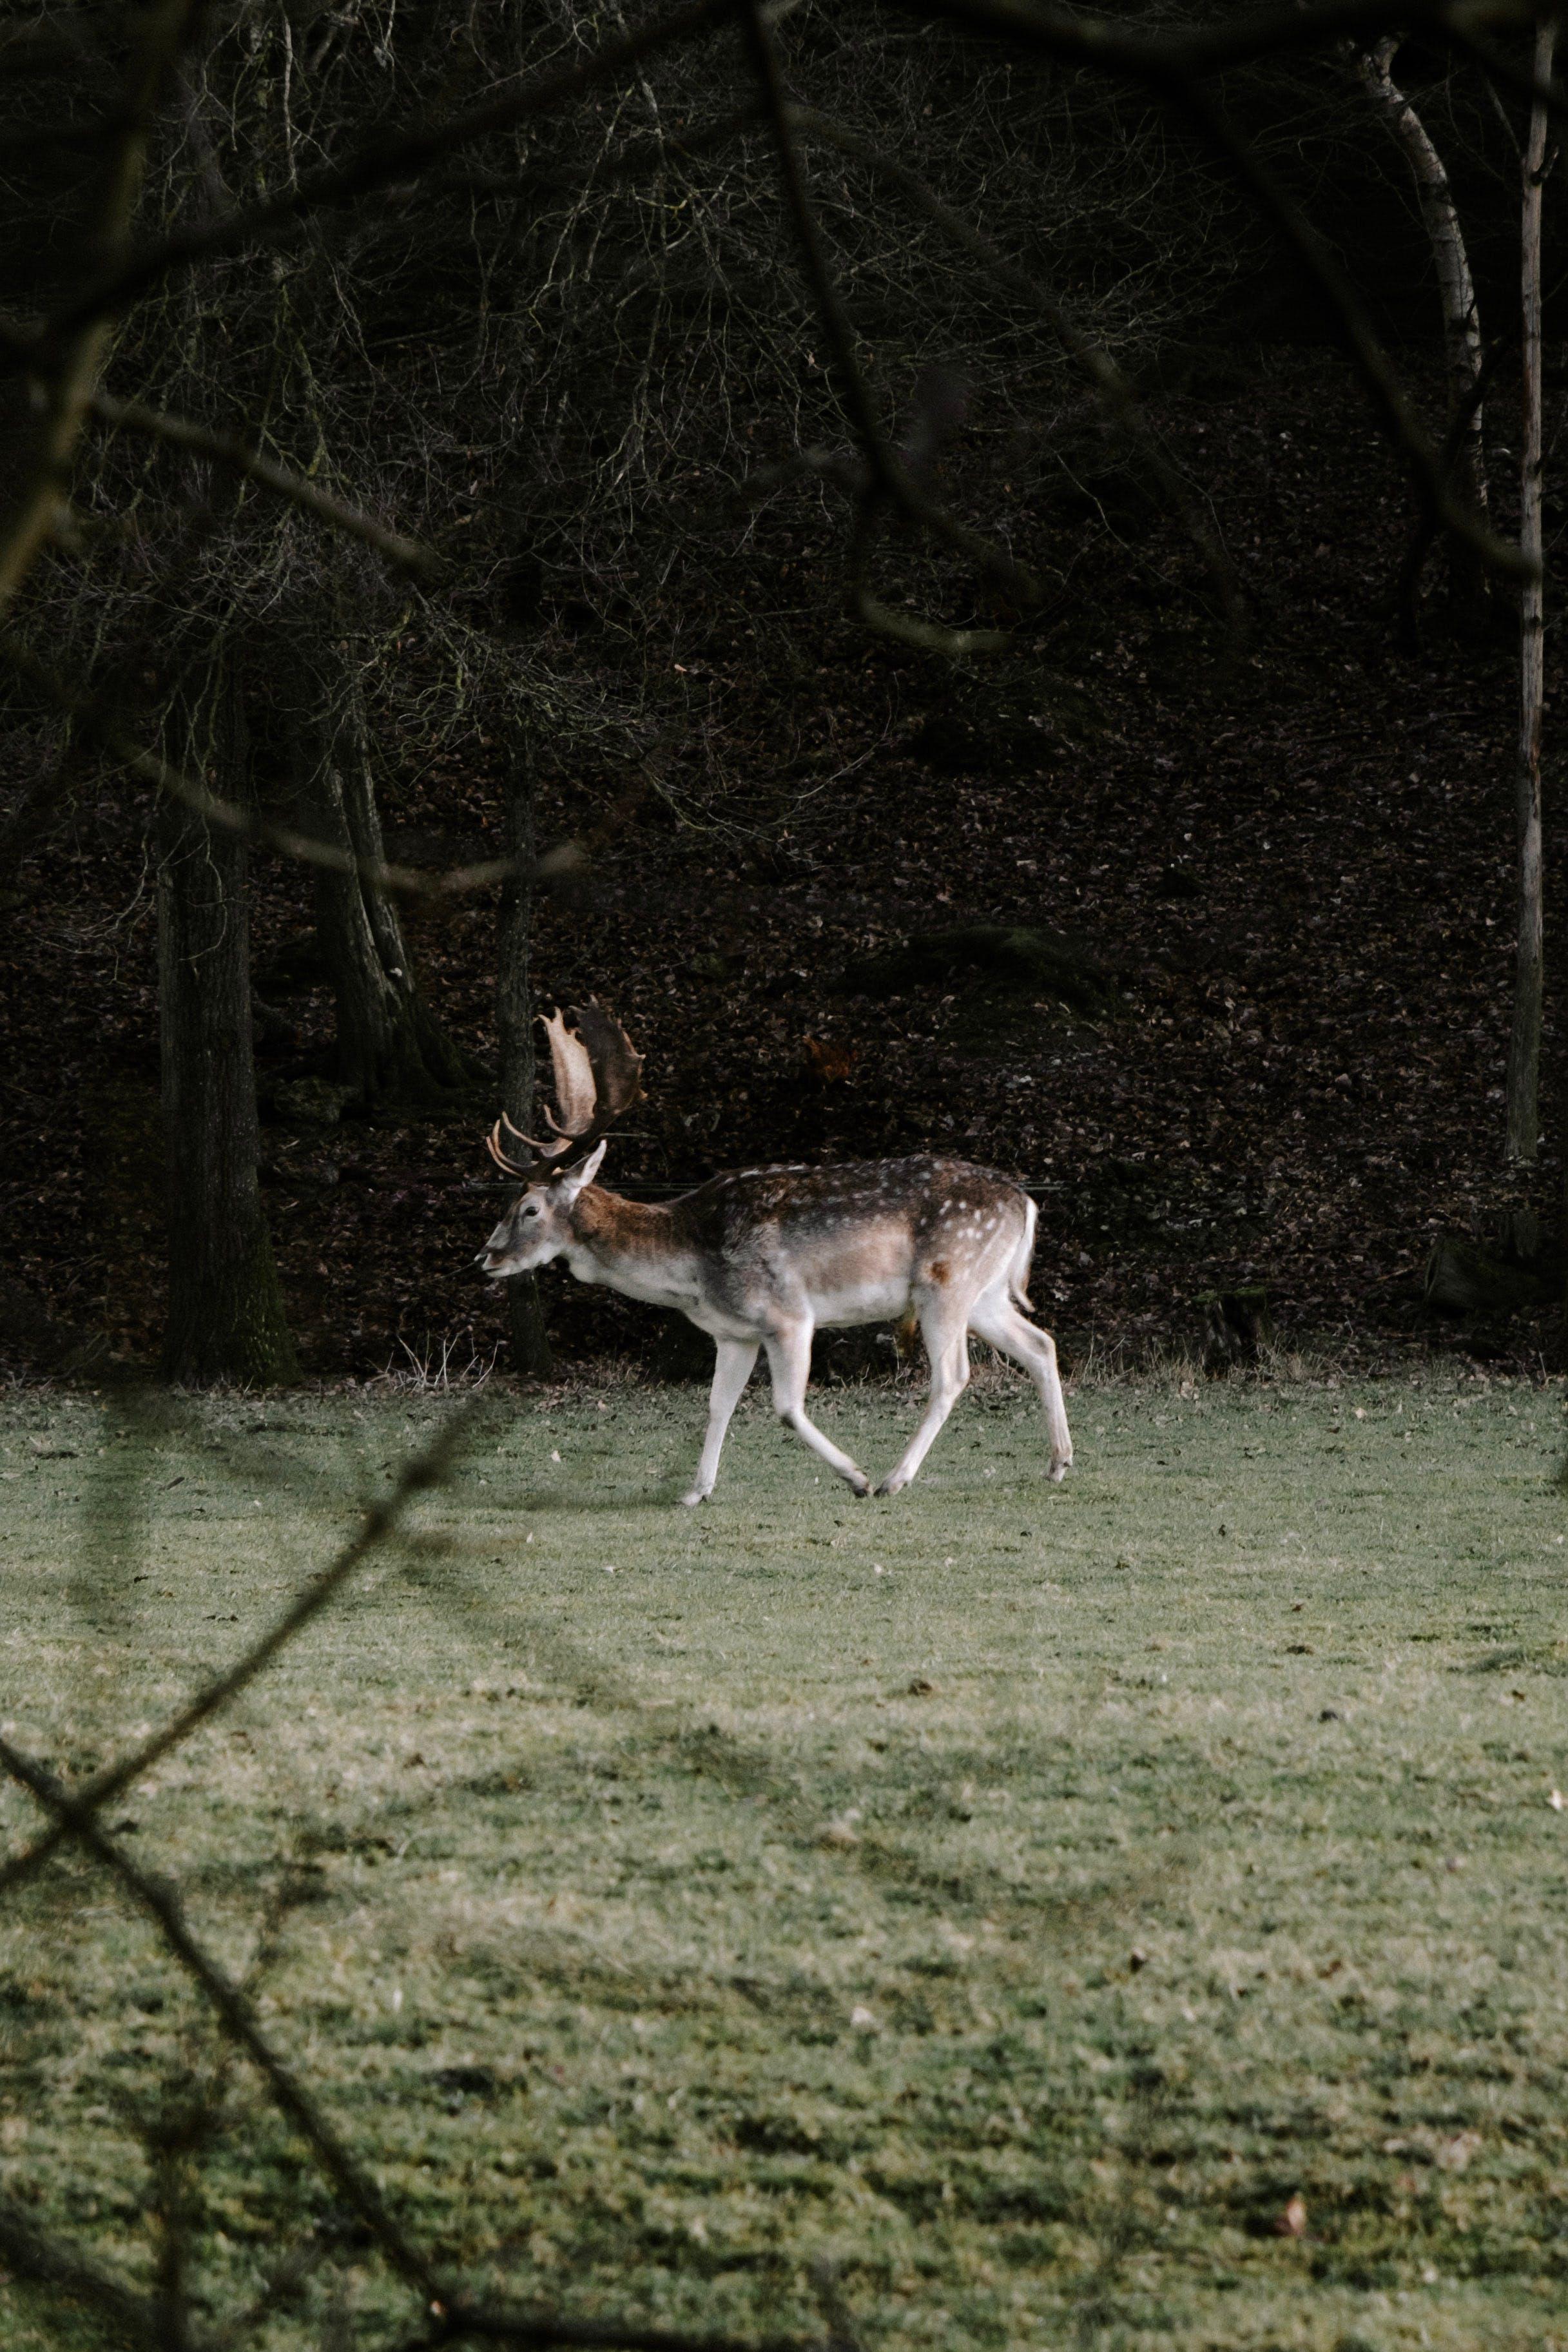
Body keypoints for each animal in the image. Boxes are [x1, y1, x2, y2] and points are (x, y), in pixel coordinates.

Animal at [472, 997, 1072, 1505]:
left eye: (529, 1208)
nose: (486, 1257)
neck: (691, 1270)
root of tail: (1025, 1202)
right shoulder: (733, 1333)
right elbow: (718, 1404)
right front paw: (695, 1491)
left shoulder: (788, 1315)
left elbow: (785, 1407)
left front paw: (854, 1478)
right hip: (984, 1293)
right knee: (1041, 1343)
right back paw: (1058, 1462)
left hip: (945, 1283)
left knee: (952, 1376)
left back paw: (893, 1478)